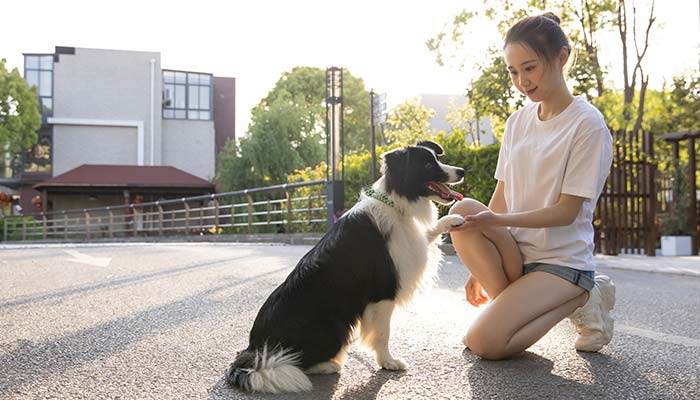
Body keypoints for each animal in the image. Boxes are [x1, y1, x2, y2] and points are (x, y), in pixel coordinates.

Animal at [224, 141, 464, 394]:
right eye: (427, 165)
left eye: (437, 158)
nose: (462, 171)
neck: (396, 202)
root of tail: (254, 349)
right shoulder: (383, 291)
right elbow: (383, 333)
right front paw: (388, 362)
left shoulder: (410, 242)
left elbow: (428, 232)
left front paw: (453, 219)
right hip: (335, 327)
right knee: (294, 363)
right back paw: (329, 365)